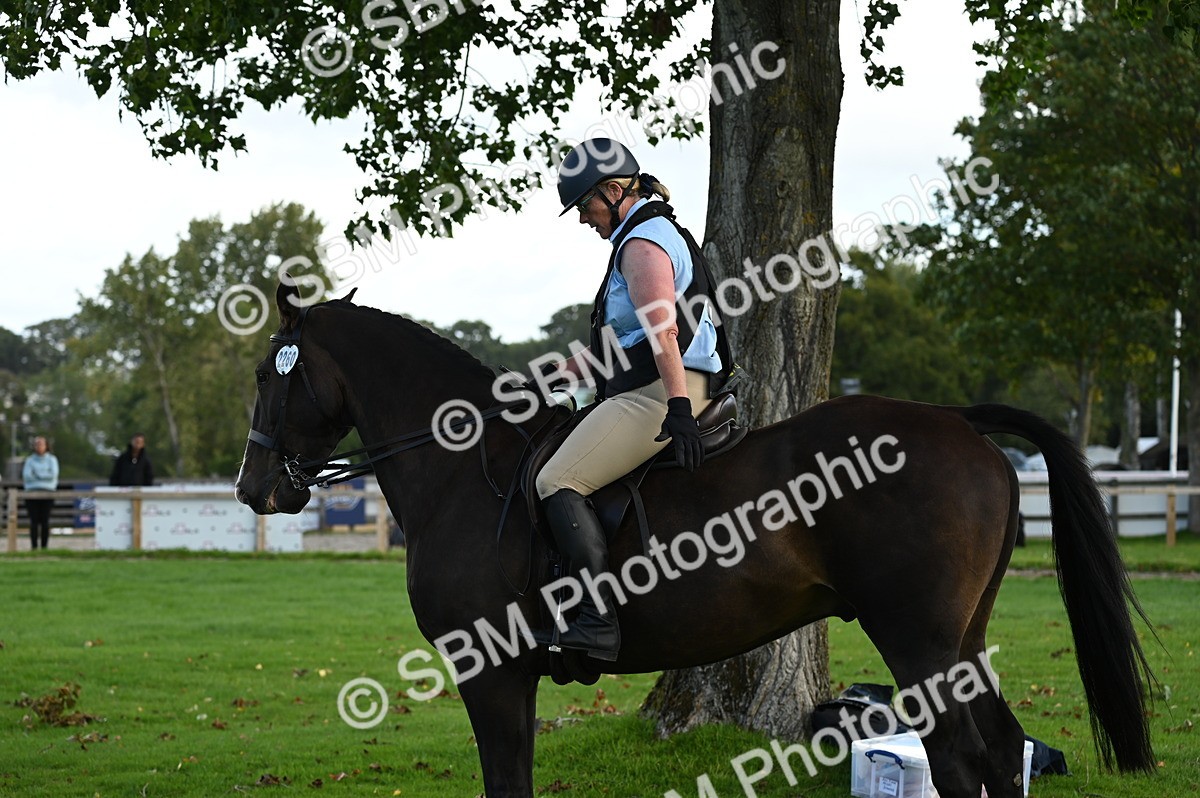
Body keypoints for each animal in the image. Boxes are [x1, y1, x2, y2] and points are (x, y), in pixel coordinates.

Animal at [234, 282, 1155, 798]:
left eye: (264, 376)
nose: (254, 488)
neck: (467, 468)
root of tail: (959, 421)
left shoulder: (490, 673)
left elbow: (506, 781)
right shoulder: (510, 677)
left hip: (918, 639)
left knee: (962, 760)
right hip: (959, 640)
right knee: (999, 752)